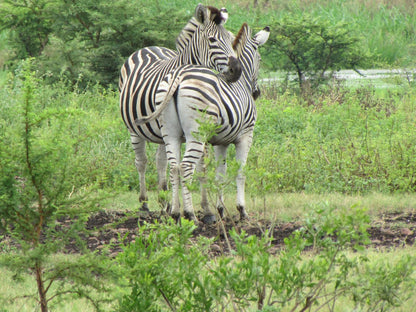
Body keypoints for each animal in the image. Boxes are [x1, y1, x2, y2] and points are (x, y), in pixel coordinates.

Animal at [118, 4, 240, 211]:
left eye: (232, 39)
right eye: (212, 40)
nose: (237, 70)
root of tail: (149, 48)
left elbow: (200, 166)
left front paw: (205, 207)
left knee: (160, 162)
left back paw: (164, 199)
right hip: (135, 129)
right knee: (141, 162)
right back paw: (144, 203)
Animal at [136, 23, 270, 223]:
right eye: (259, 60)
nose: (256, 93)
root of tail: (178, 76)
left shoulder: (221, 142)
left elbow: (220, 174)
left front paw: (221, 210)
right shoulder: (246, 135)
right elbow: (240, 171)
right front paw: (241, 210)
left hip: (170, 132)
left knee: (174, 167)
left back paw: (175, 213)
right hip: (195, 134)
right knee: (185, 167)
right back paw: (190, 214)